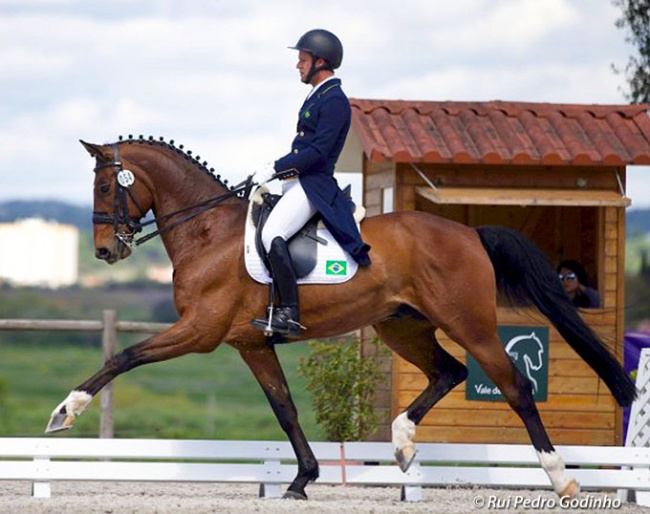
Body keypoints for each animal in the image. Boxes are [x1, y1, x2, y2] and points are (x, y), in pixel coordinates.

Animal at [45, 136, 632, 500]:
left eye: (105, 187)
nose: (104, 252)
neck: (208, 233)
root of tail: (470, 233)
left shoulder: (201, 332)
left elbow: (124, 355)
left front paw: (64, 412)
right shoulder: (251, 344)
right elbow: (285, 410)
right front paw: (302, 480)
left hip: (472, 325)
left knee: (514, 387)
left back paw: (561, 479)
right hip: (401, 326)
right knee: (449, 372)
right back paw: (402, 444)